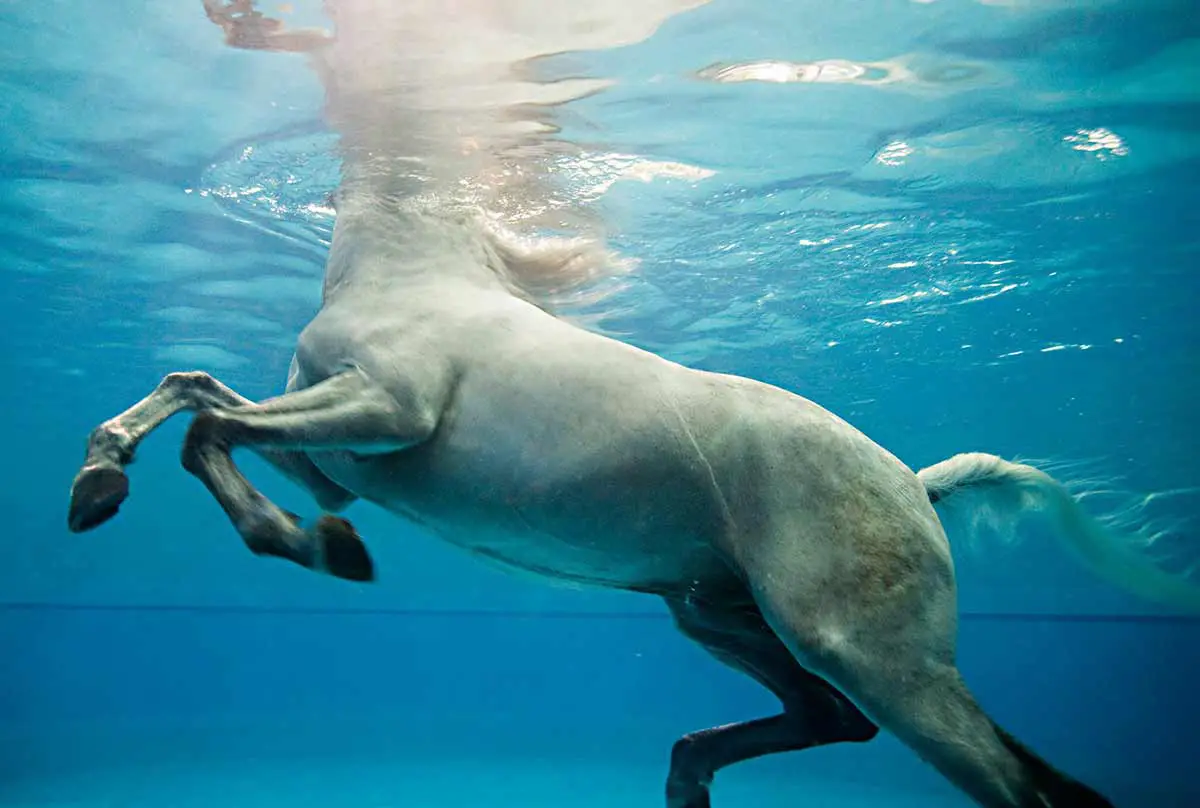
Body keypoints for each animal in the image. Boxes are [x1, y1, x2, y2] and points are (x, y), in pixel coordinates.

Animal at [68, 1, 1200, 806]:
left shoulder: (388, 410)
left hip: (864, 645)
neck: (411, 269)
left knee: (999, 776)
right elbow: (196, 394)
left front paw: (295, 542)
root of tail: (920, 485)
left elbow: (208, 425)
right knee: (851, 726)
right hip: (711, 613)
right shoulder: (338, 457)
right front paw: (111, 482)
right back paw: (687, 772)